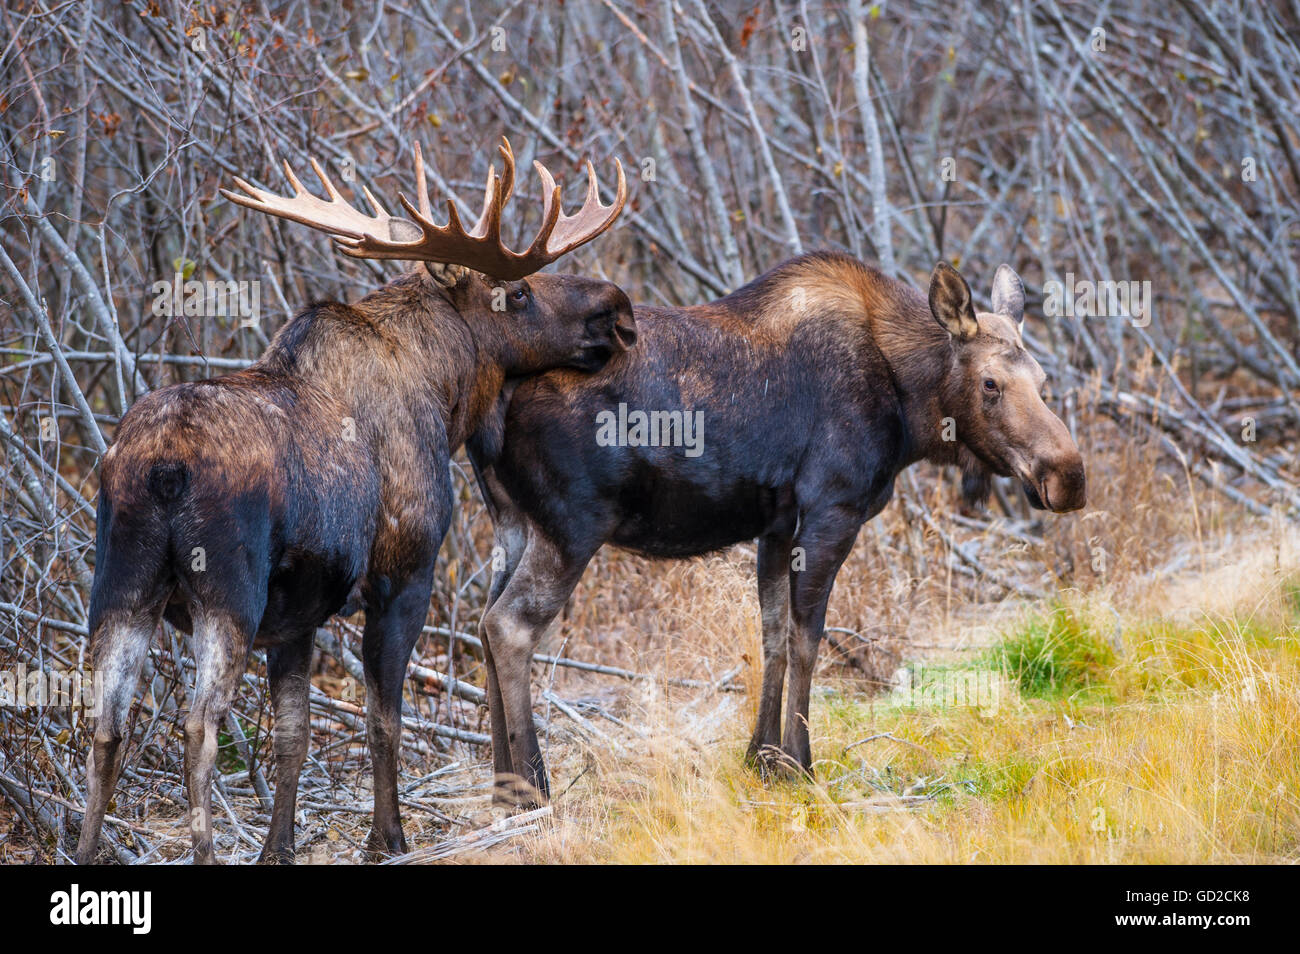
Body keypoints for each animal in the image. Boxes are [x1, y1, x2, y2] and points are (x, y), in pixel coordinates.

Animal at [76, 140, 634, 868]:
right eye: (517, 292)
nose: (614, 309)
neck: (445, 395)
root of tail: (163, 466)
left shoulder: (296, 617)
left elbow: (293, 736)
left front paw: (278, 848)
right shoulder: (404, 574)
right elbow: (383, 721)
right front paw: (387, 838)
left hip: (122, 584)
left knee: (106, 724)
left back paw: (85, 853)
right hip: (225, 593)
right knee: (197, 724)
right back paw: (204, 852)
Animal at [467, 250, 1086, 805]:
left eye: (1042, 379)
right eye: (990, 384)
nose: (1069, 477)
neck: (909, 405)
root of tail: (492, 394)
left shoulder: (775, 526)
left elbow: (771, 635)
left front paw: (760, 757)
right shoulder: (832, 509)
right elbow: (806, 639)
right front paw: (800, 765)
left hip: (512, 523)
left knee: (482, 622)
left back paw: (500, 786)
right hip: (572, 525)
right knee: (509, 625)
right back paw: (532, 787)